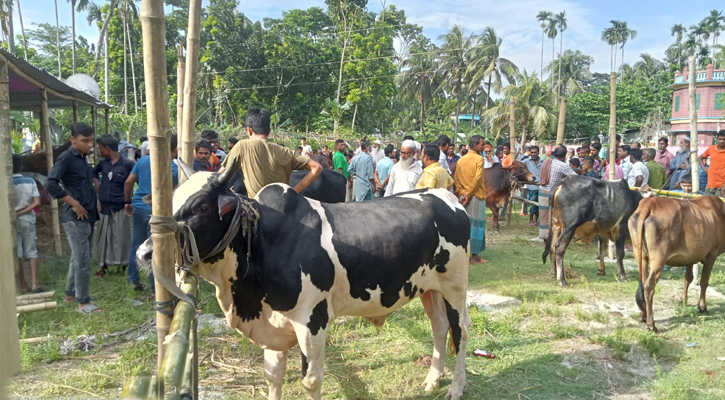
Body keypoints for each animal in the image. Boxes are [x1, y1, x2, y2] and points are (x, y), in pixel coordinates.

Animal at [628, 196, 724, 332]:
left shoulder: (691, 257)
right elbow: (704, 282)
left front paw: (683, 299)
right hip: (659, 258)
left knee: (643, 282)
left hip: (640, 255)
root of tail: (650, 203)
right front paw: (702, 307)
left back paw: (643, 316)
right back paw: (651, 324)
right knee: (649, 287)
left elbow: (688, 278)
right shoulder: (712, 255)